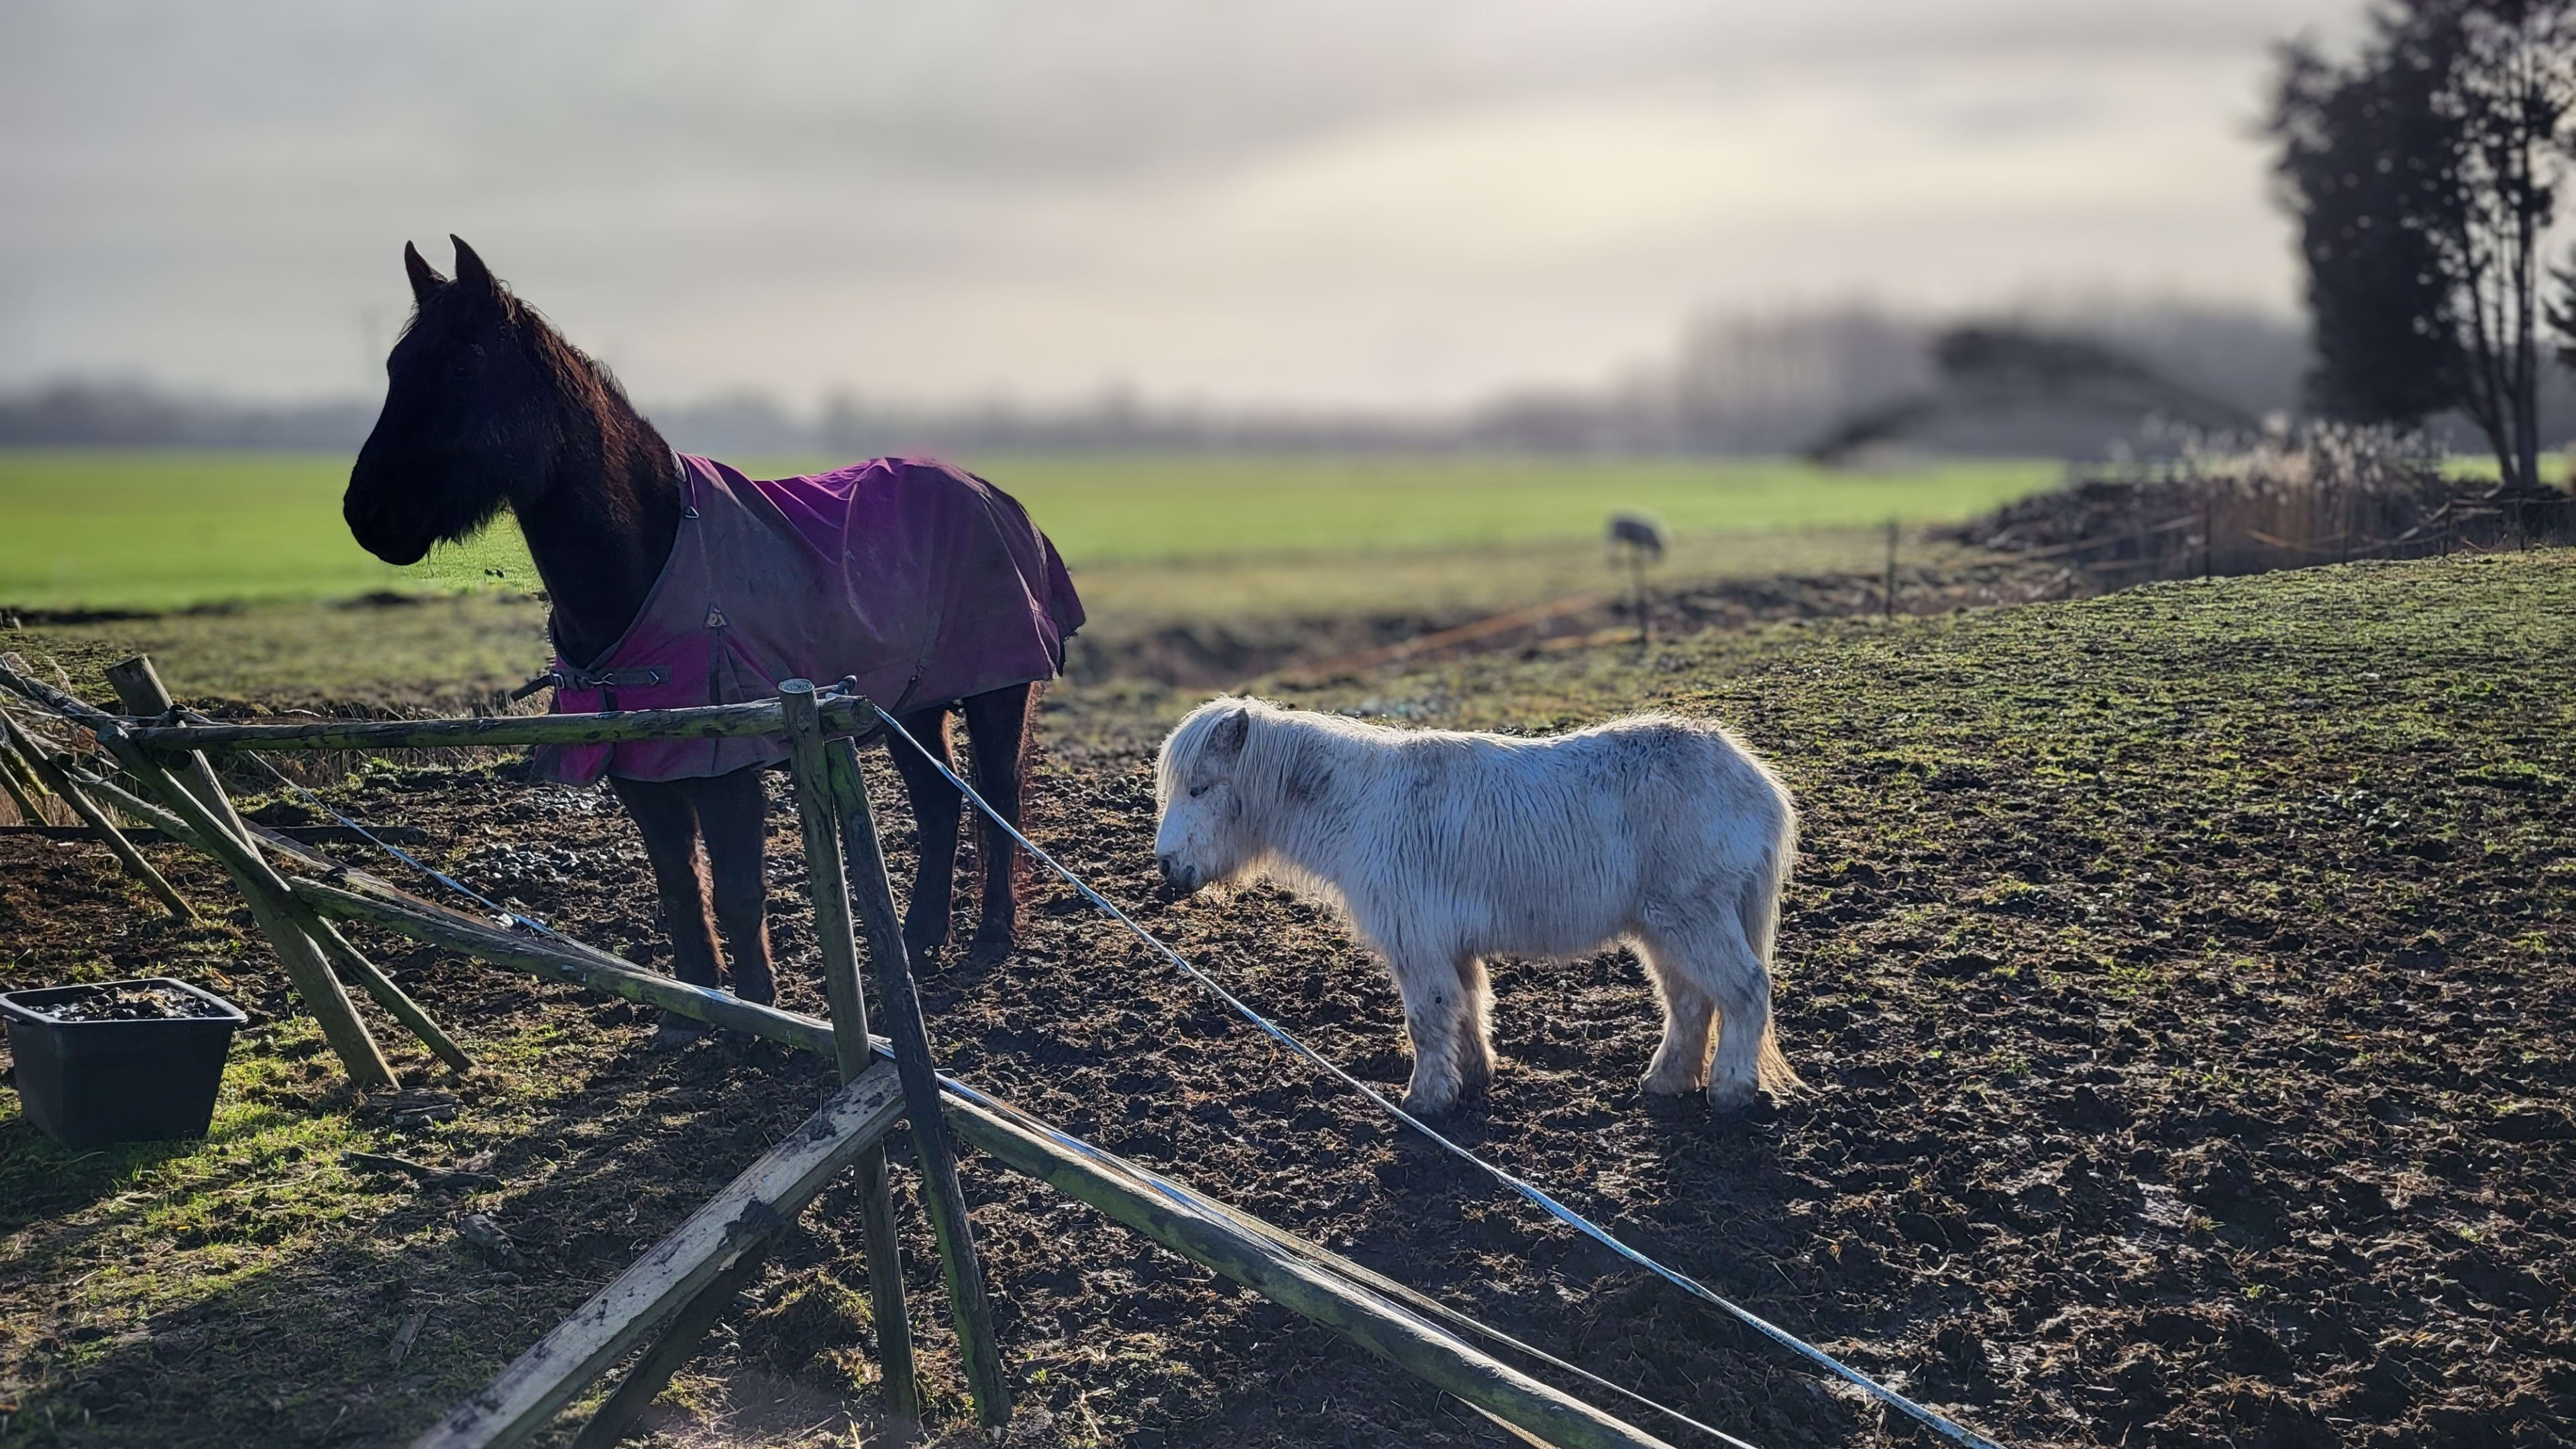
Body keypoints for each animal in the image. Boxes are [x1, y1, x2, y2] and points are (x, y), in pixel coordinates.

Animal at [347, 234, 1040, 1026]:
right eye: (395, 366)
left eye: (462, 365)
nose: (366, 513)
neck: (651, 565)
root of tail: (990, 493)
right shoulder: (642, 774)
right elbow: (680, 887)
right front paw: (691, 1013)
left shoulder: (726, 772)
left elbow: (738, 893)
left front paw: (760, 1016)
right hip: (912, 709)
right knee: (940, 805)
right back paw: (922, 937)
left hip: (995, 694)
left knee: (999, 803)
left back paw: (990, 937)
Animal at [1159, 696, 1803, 1108]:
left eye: (1199, 788)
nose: (1166, 867)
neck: (1361, 807)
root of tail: (1755, 781)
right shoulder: (1450, 942)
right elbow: (1467, 1004)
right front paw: (1471, 1078)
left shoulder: (1417, 940)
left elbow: (1427, 1017)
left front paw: (1426, 1101)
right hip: (1664, 929)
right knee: (1692, 1004)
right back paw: (1667, 1083)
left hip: (1693, 920)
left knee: (1745, 991)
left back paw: (1730, 1093)